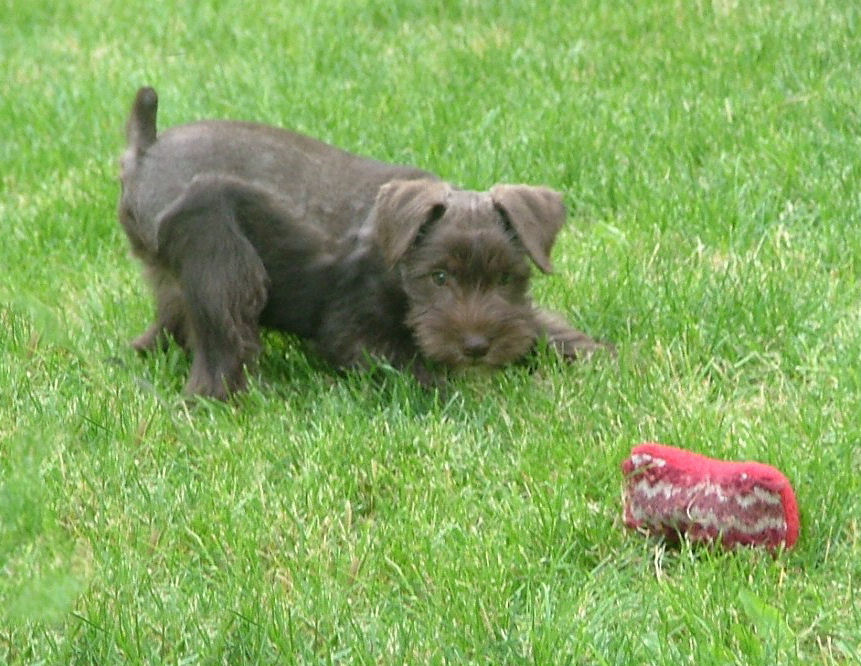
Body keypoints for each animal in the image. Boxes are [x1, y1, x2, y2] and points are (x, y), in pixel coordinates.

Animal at [117, 87, 608, 400]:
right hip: (221, 261)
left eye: (507, 278)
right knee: (219, 351)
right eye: (439, 277)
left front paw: (601, 358)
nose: (476, 347)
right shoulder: (357, 334)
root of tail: (145, 152)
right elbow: (414, 372)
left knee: (169, 320)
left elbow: (542, 326)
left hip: (174, 274)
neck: (398, 267)